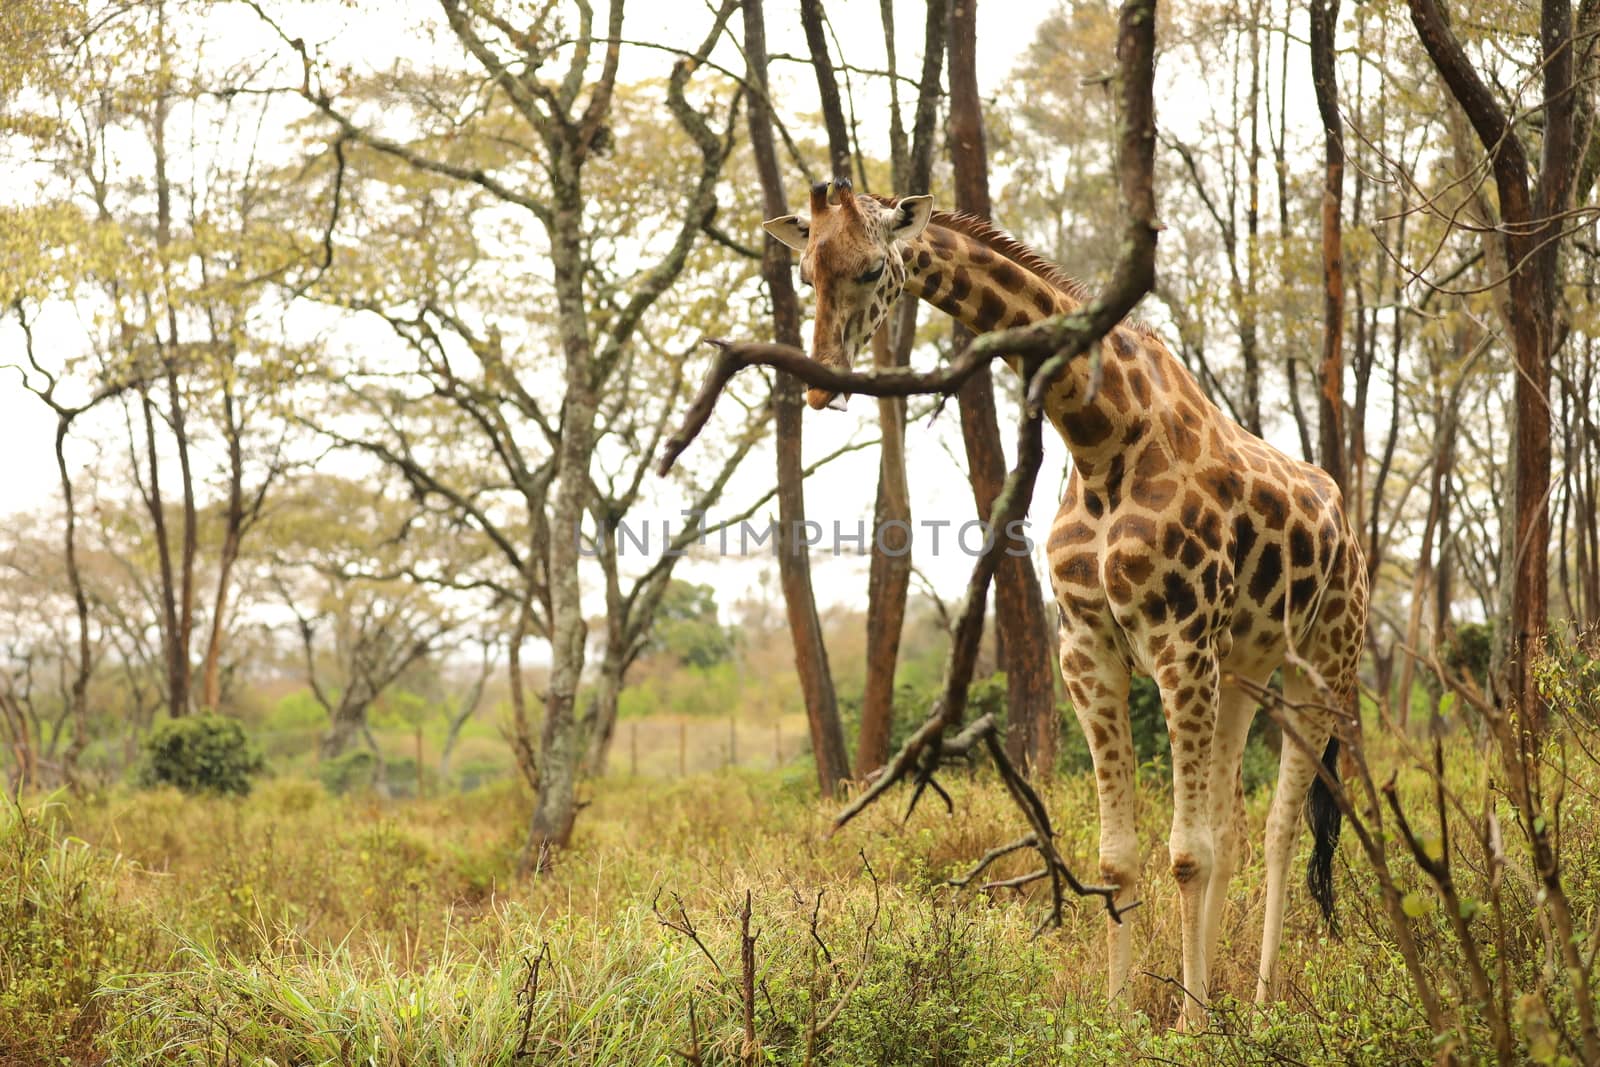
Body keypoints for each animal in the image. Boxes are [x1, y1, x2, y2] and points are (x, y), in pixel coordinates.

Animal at [768, 179, 1369, 1030]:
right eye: (805, 271)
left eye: (871, 268)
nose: (820, 383)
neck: (1098, 438)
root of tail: (1345, 518)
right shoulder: (1090, 652)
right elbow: (1121, 856)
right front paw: (1127, 1013)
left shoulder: (1180, 643)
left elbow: (1185, 852)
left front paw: (1188, 1024)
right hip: (1241, 672)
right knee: (1233, 822)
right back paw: (1227, 993)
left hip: (1321, 663)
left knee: (1283, 825)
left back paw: (1254, 1003)